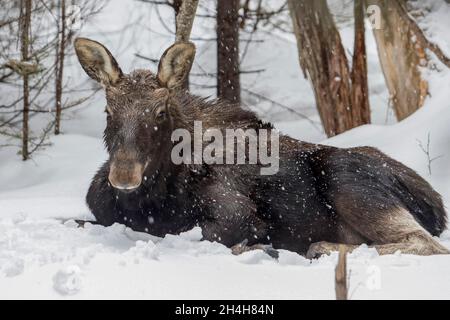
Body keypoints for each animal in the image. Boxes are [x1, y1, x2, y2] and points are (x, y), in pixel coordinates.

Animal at [74, 37, 446, 258]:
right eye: (108, 111)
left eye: (160, 112)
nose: (123, 175)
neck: (151, 198)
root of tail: (436, 203)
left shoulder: (238, 214)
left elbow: (210, 236)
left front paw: (264, 248)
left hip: (347, 181)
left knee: (426, 242)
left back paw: (320, 247)